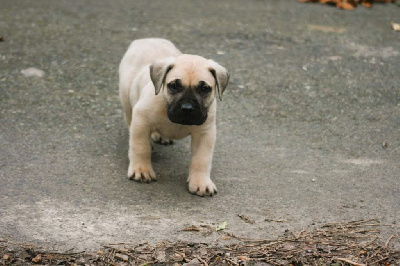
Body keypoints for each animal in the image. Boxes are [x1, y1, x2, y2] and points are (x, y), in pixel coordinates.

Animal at [118, 38, 228, 195]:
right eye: (174, 86)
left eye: (204, 88)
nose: (187, 108)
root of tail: (146, 39)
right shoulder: (141, 119)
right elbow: (140, 147)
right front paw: (142, 170)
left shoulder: (205, 133)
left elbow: (201, 159)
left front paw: (201, 182)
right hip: (127, 101)